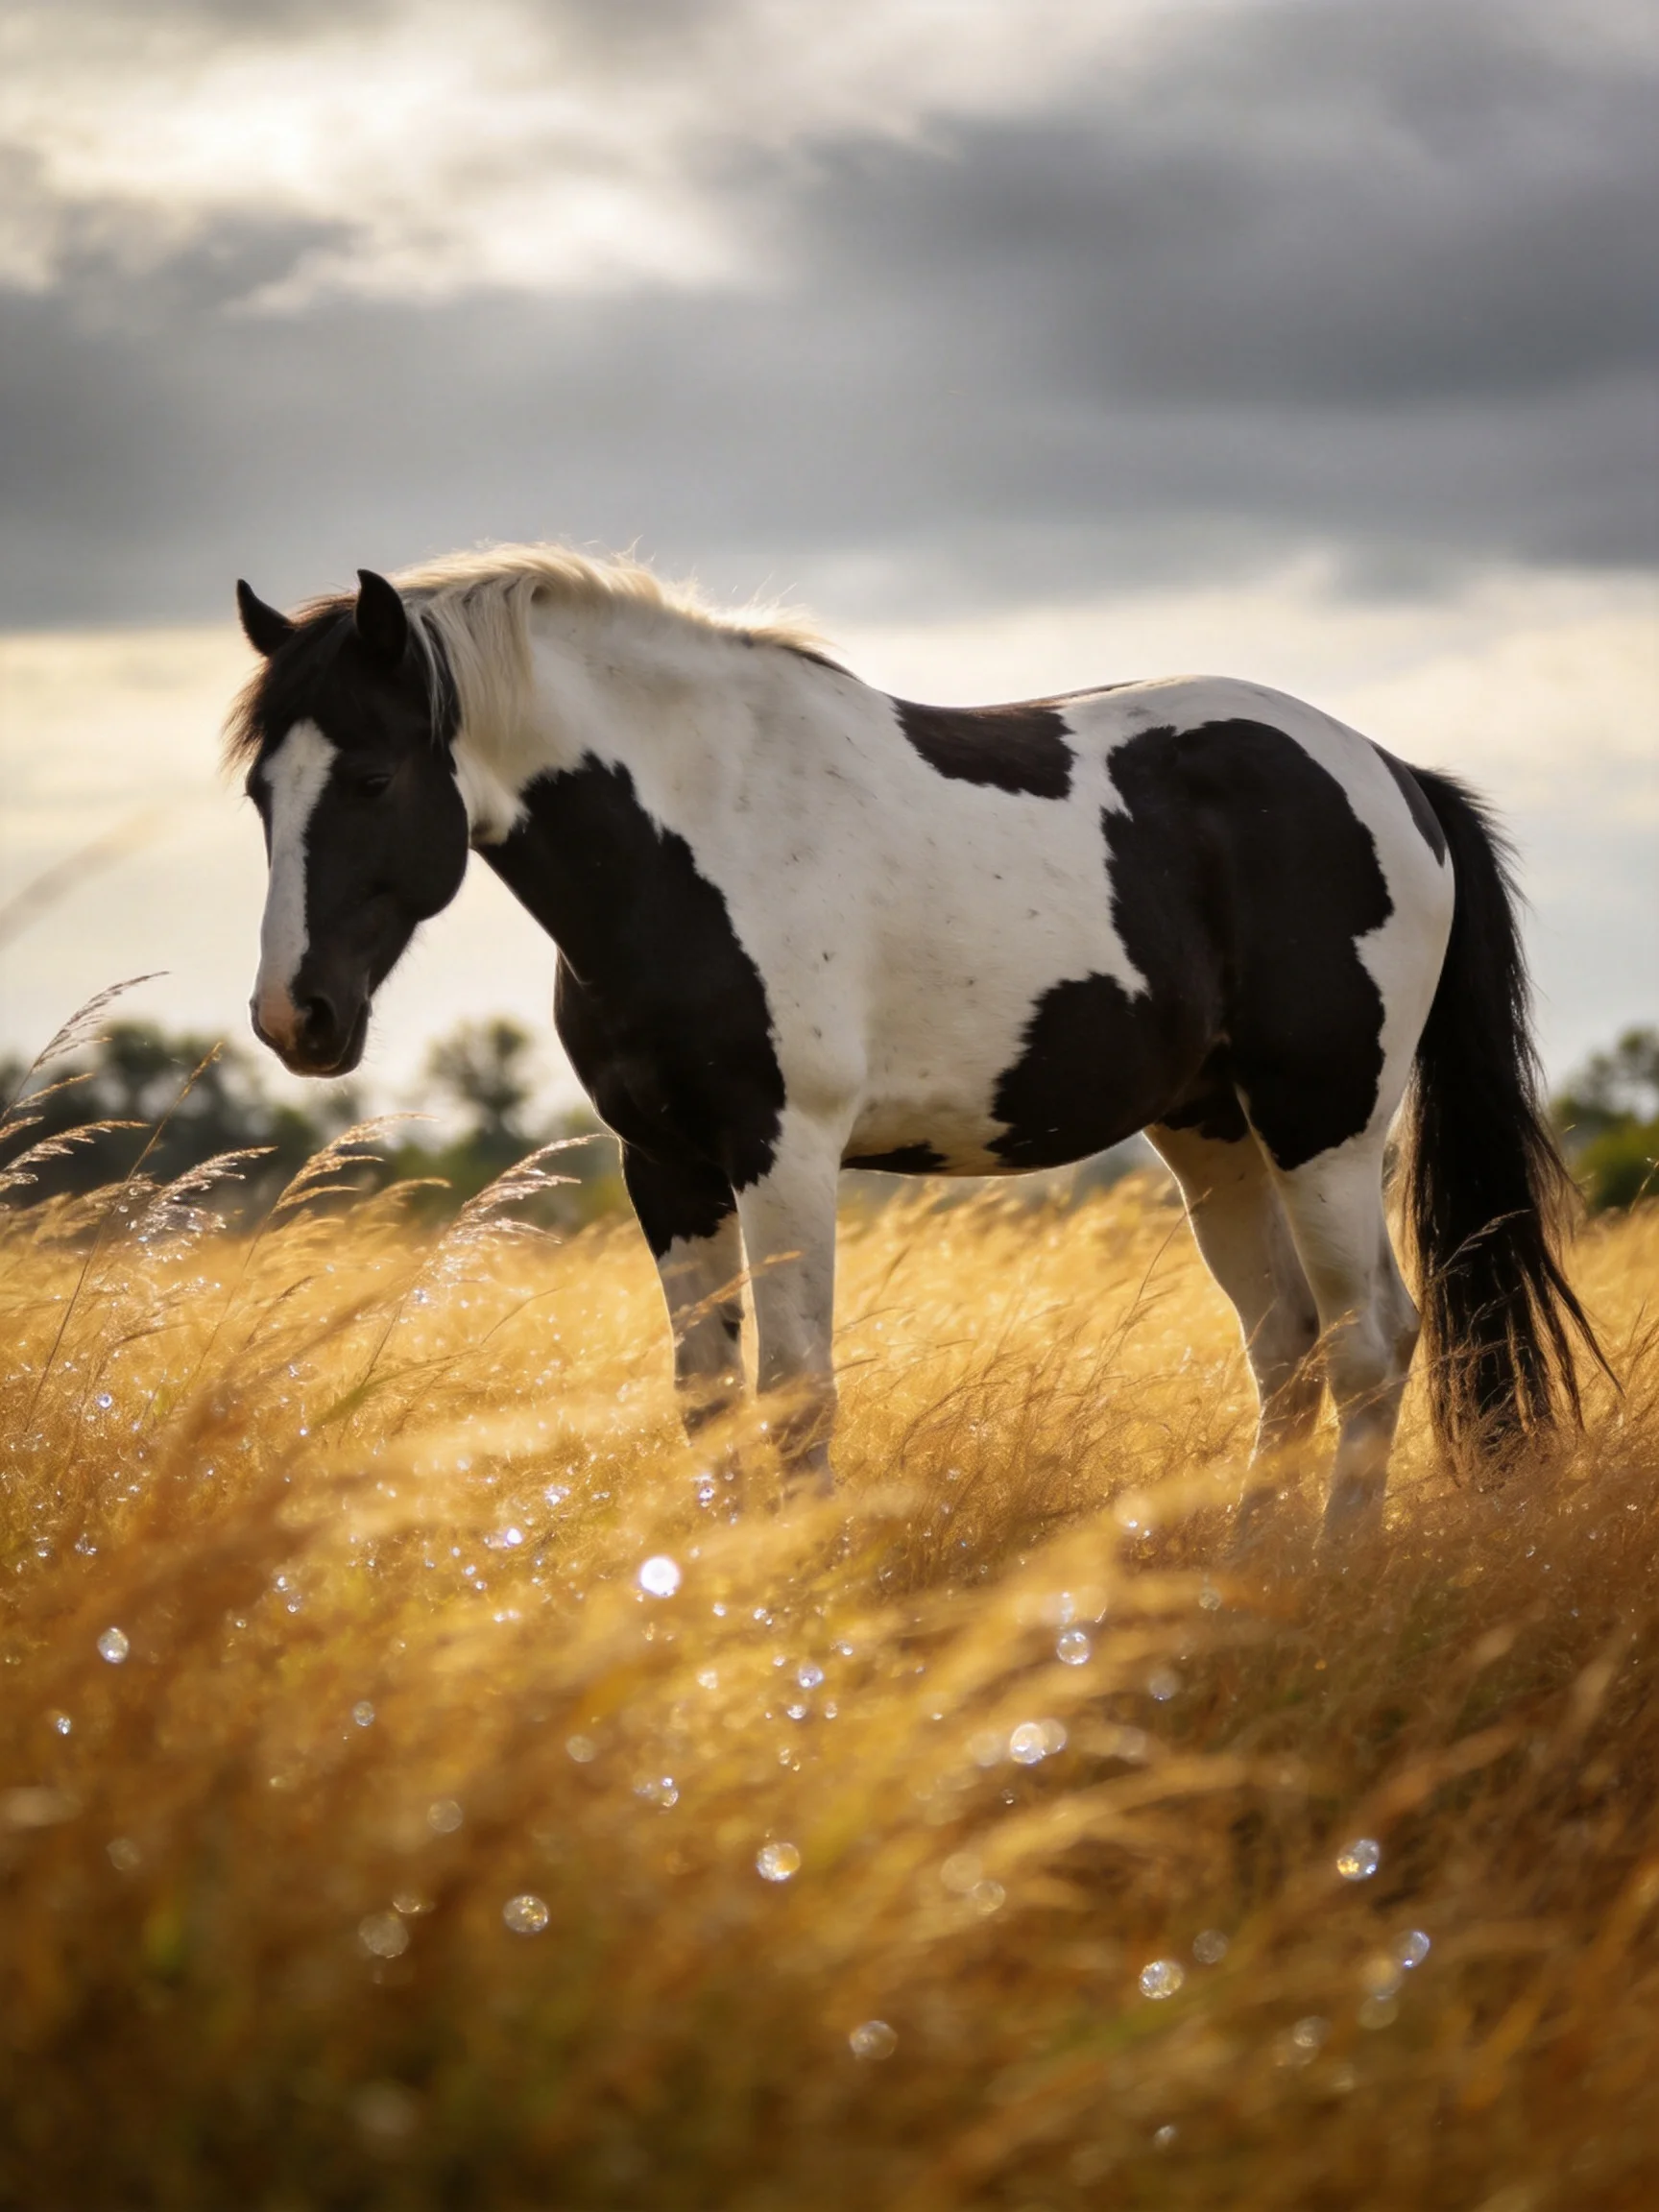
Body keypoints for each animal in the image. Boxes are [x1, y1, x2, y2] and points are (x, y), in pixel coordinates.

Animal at [225, 545, 1600, 1543]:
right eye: (258, 794)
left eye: (373, 779)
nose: (297, 1018)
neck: (696, 835)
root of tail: (1393, 776)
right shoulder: (664, 1165)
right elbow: (708, 1400)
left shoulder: (783, 1153)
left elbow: (794, 1397)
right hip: (1214, 1135)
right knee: (1288, 1351)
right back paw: (1244, 1576)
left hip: (1325, 1122)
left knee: (1371, 1345)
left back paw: (1330, 1572)